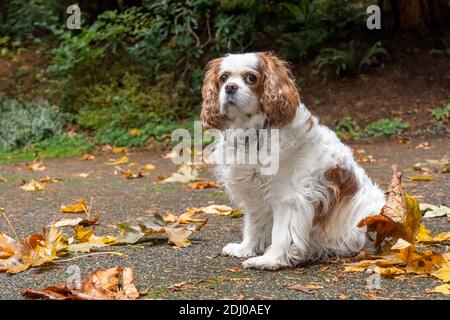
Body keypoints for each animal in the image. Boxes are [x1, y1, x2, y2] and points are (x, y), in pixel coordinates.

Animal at [200, 52, 386, 270]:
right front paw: (245, 249)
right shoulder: (254, 194)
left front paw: (271, 259)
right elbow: (253, 225)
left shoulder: (289, 197)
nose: (230, 87)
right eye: (223, 78)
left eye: (251, 78)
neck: (252, 134)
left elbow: (281, 233)